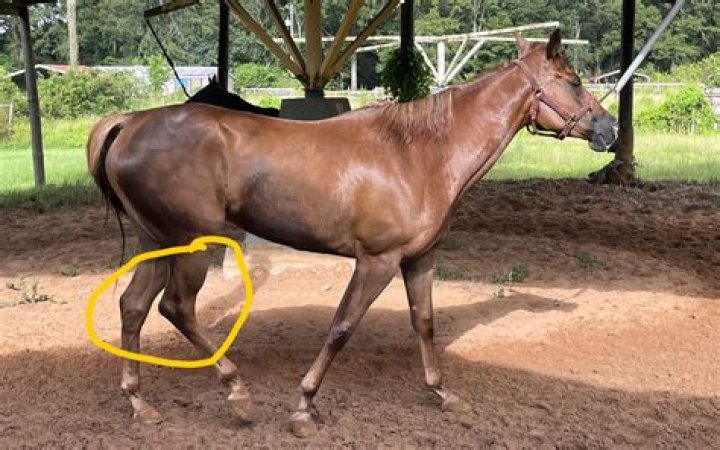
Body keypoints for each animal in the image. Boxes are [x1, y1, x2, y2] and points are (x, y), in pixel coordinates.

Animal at [86, 30, 617, 437]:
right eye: (573, 82)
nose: (609, 130)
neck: (420, 153)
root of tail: (130, 123)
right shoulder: (376, 261)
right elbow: (341, 326)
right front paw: (304, 408)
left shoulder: (419, 259)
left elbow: (424, 322)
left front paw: (441, 392)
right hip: (191, 245)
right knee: (176, 308)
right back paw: (237, 393)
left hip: (157, 243)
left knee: (133, 307)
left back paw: (140, 404)